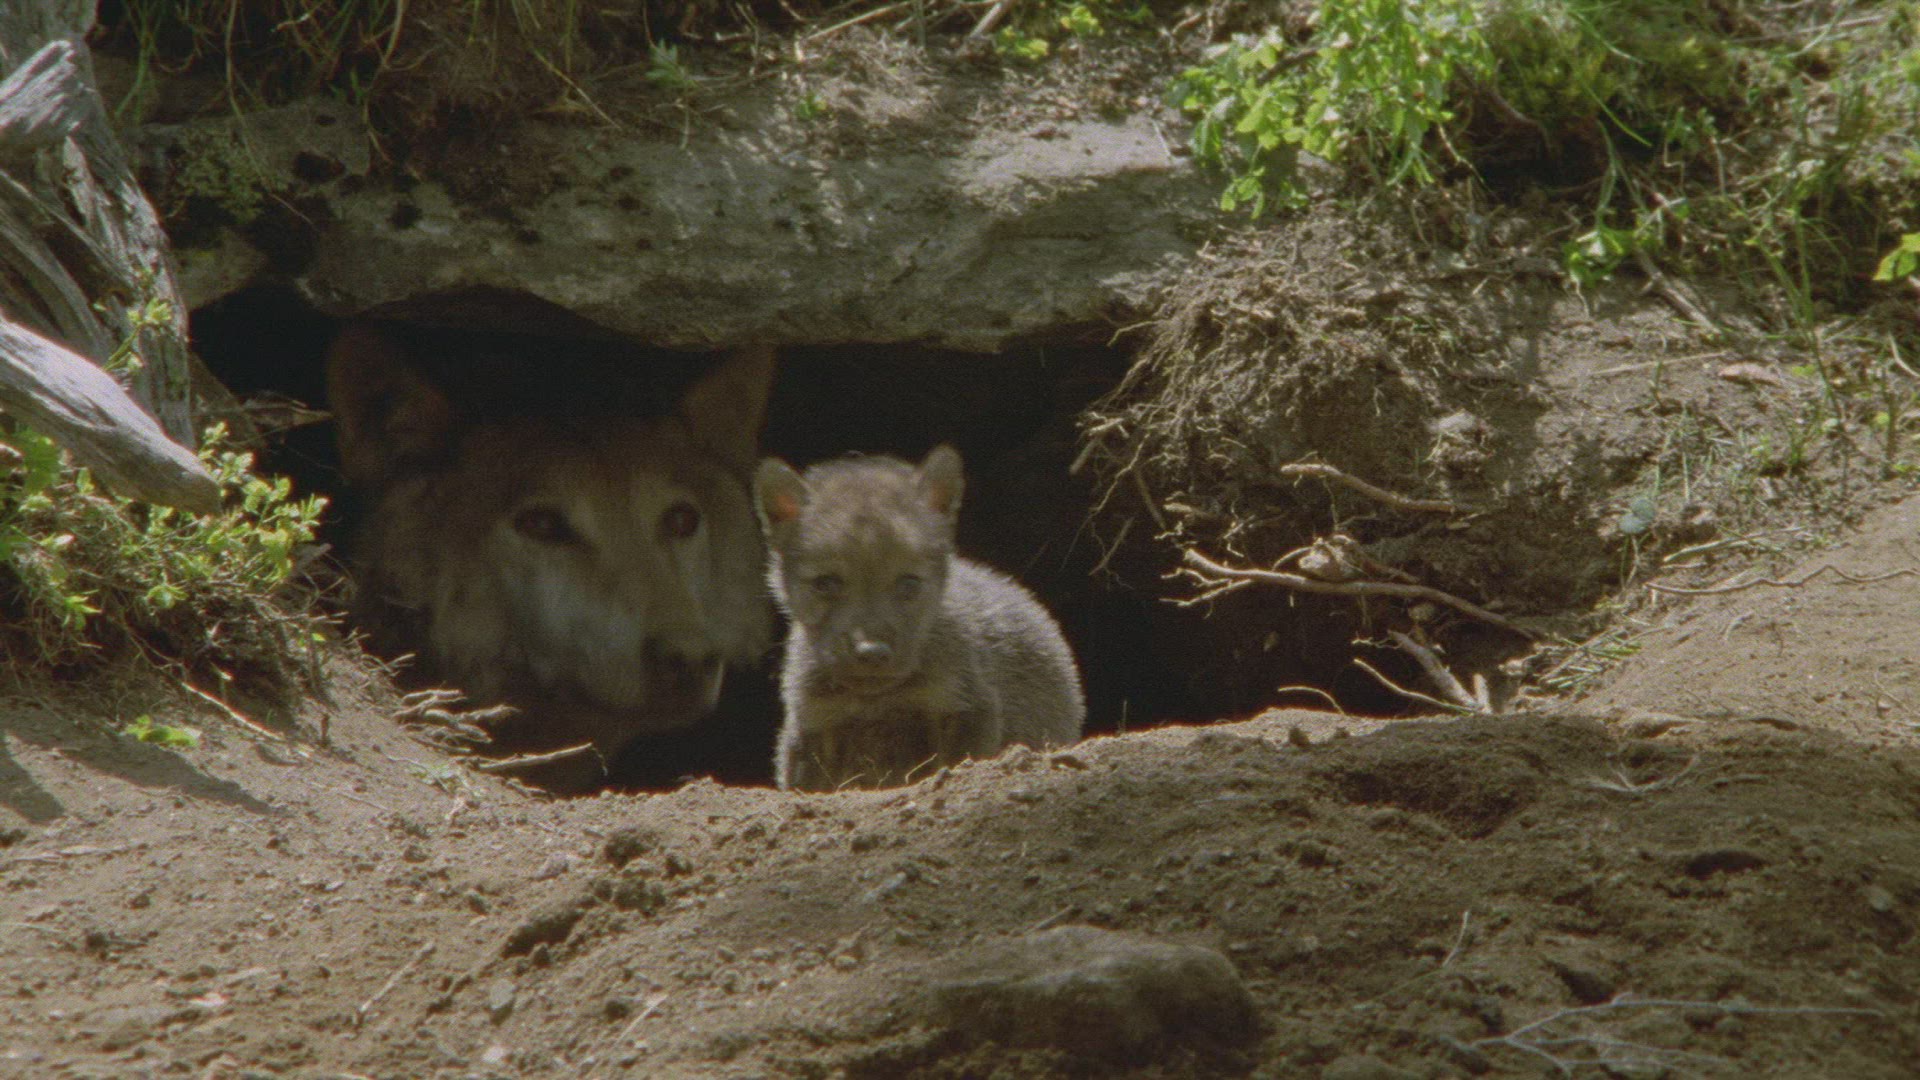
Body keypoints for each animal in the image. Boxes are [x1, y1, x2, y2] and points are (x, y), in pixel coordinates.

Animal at [753, 445, 1084, 791]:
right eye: (826, 583)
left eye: (908, 583)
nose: (872, 652)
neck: (878, 702)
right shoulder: (813, 726)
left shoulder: (964, 708)